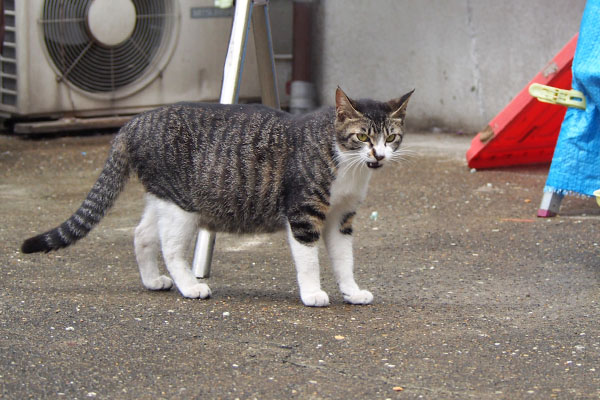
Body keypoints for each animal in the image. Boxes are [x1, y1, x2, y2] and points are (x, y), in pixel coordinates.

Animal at [19, 86, 412, 306]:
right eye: (363, 137)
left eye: (391, 137)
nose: (379, 155)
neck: (348, 167)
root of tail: (134, 122)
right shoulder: (304, 213)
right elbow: (309, 261)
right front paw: (313, 294)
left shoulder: (340, 219)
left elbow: (345, 261)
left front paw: (352, 291)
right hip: (182, 205)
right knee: (170, 248)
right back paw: (190, 286)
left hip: (163, 197)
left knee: (142, 235)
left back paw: (152, 280)